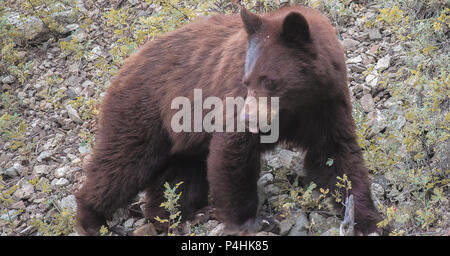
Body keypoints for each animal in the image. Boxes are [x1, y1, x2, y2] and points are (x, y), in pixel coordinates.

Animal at [75, 5, 382, 235]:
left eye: (269, 80)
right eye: (247, 80)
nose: (248, 116)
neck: (297, 104)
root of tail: (123, 67)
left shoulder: (326, 105)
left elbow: (336, 156)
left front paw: (368, 220)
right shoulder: (231, 99)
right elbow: (233, 152)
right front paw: (251, 220)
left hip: (182, 140)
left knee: (179, 175)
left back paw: (178, 216)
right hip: (145, 113)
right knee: (122, 164)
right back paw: (91, 218)